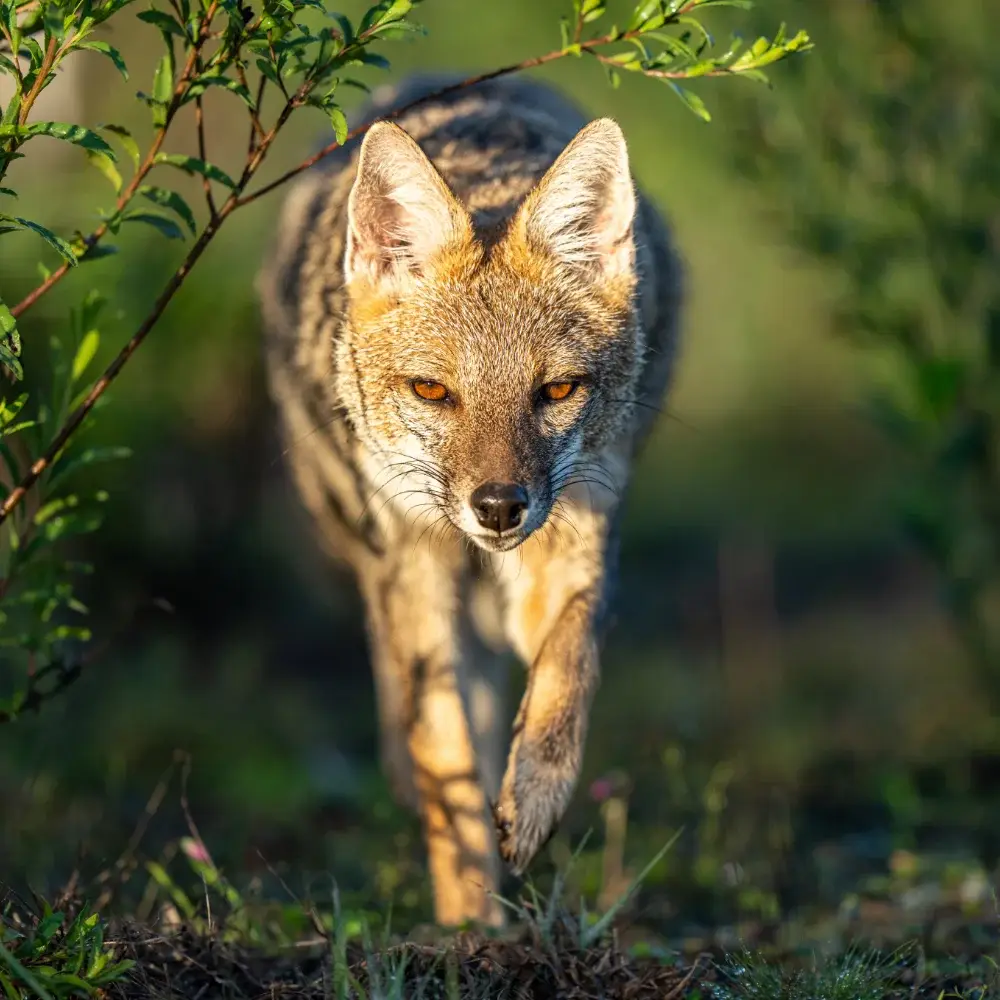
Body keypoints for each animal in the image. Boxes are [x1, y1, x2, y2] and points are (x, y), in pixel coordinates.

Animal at [257, 73, 682, 927]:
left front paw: (536, 797)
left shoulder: (574, 539)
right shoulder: (412, 570)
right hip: (383, 564)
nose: (497, 507)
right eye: (432, 391)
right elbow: (443, 751)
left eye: (556, 391)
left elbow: (569, 670)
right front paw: (467, 924)